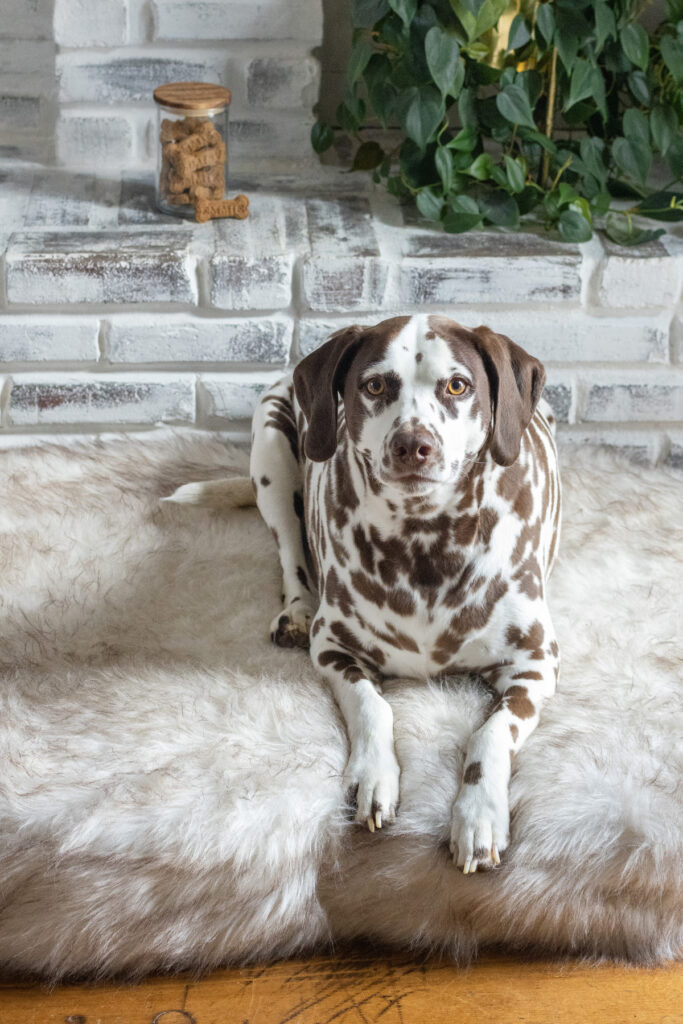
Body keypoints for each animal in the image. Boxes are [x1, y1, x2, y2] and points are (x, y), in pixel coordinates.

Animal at [249, 311, 561, 872]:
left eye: (457, 385)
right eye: (374, 385)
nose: (413, 444)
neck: (425, 542)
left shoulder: (535, 665)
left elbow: (492, 733)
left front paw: (479, 812)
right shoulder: (334, 648)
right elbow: (372, 705)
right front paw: (373, 776)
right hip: (270, 453)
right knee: (288, 546)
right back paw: (296, 609)